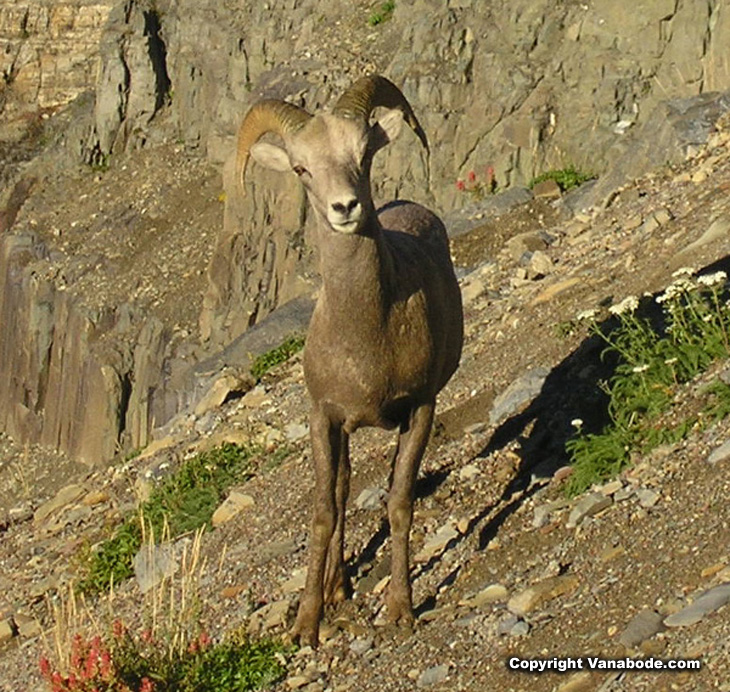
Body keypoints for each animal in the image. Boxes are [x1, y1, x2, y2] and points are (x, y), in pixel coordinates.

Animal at [236, 74, 464, 644]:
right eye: (301, 169)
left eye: (363, 154)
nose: (345, 208)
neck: (366, 339)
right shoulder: (325, 418)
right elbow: (323, 512)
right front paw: (306, 626)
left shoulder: (420, 410)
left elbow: (400, 502)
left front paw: (401, 609)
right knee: (339, 493)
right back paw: (337, 587)